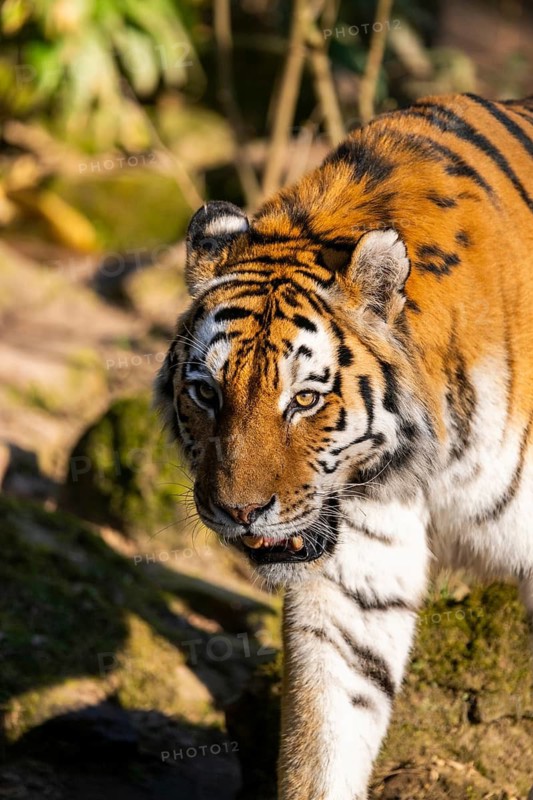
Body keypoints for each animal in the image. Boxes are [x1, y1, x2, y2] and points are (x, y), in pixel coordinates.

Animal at [155, 92, 533, 799]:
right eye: (206, 393)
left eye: (305, 399)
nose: (241, 513)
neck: (429, 464)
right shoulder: (356, 571)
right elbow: (328, 731)